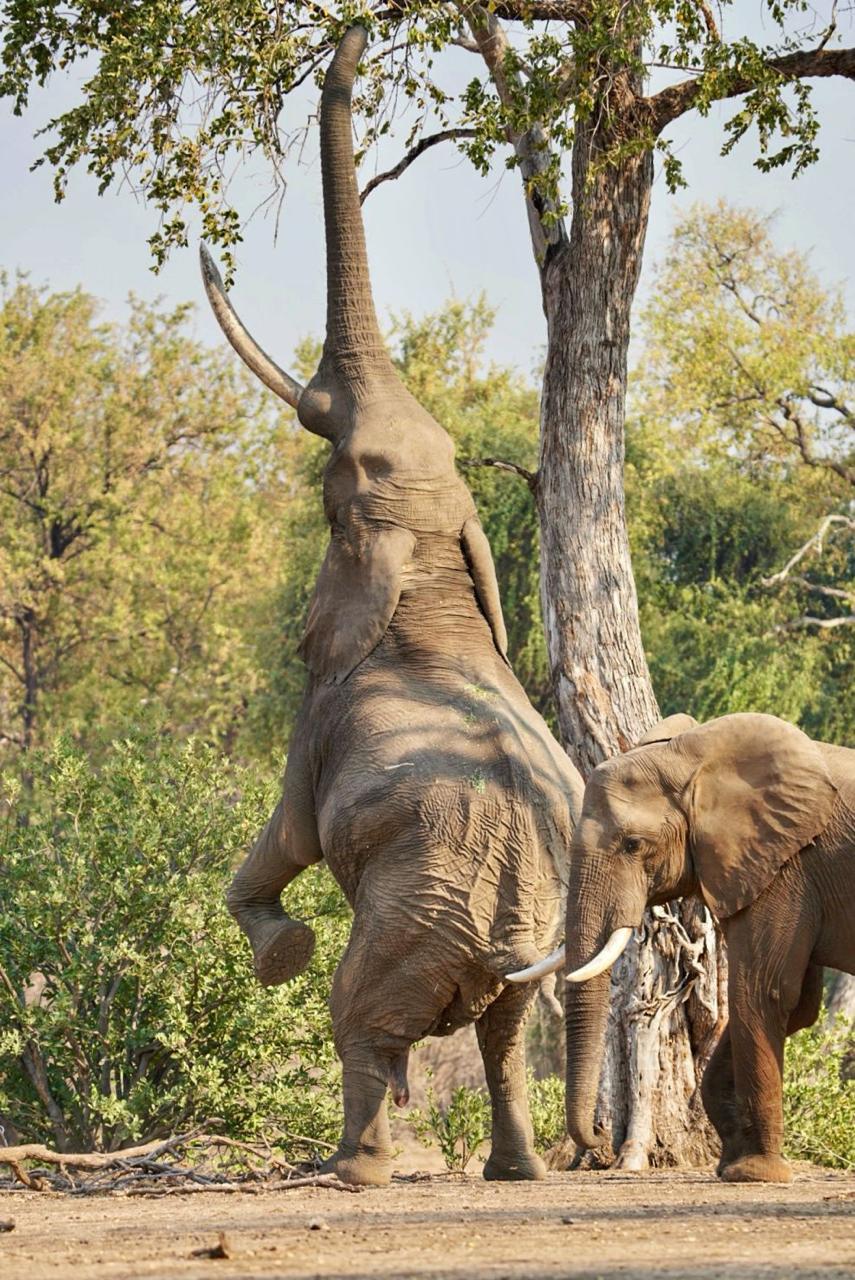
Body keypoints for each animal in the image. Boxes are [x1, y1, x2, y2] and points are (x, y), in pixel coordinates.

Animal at [199, 26, 584, 1187]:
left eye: (338, 480)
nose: (359, 27)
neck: (432, 581)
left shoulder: (318, 711)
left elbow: (285, 834)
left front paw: (279, 951)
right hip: (494, 922)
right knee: (503, 1032)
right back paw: (517, 1172)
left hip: (414, 912)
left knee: (363, 1017)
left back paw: (351, 1168)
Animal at [508, 711, 855, 1184]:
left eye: (633, 844)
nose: (599, 1137)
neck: (692, 760)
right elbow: (799, 1005)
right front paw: (730, 1161)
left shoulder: (787, 867)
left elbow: (764, 993)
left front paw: (754, 1173)